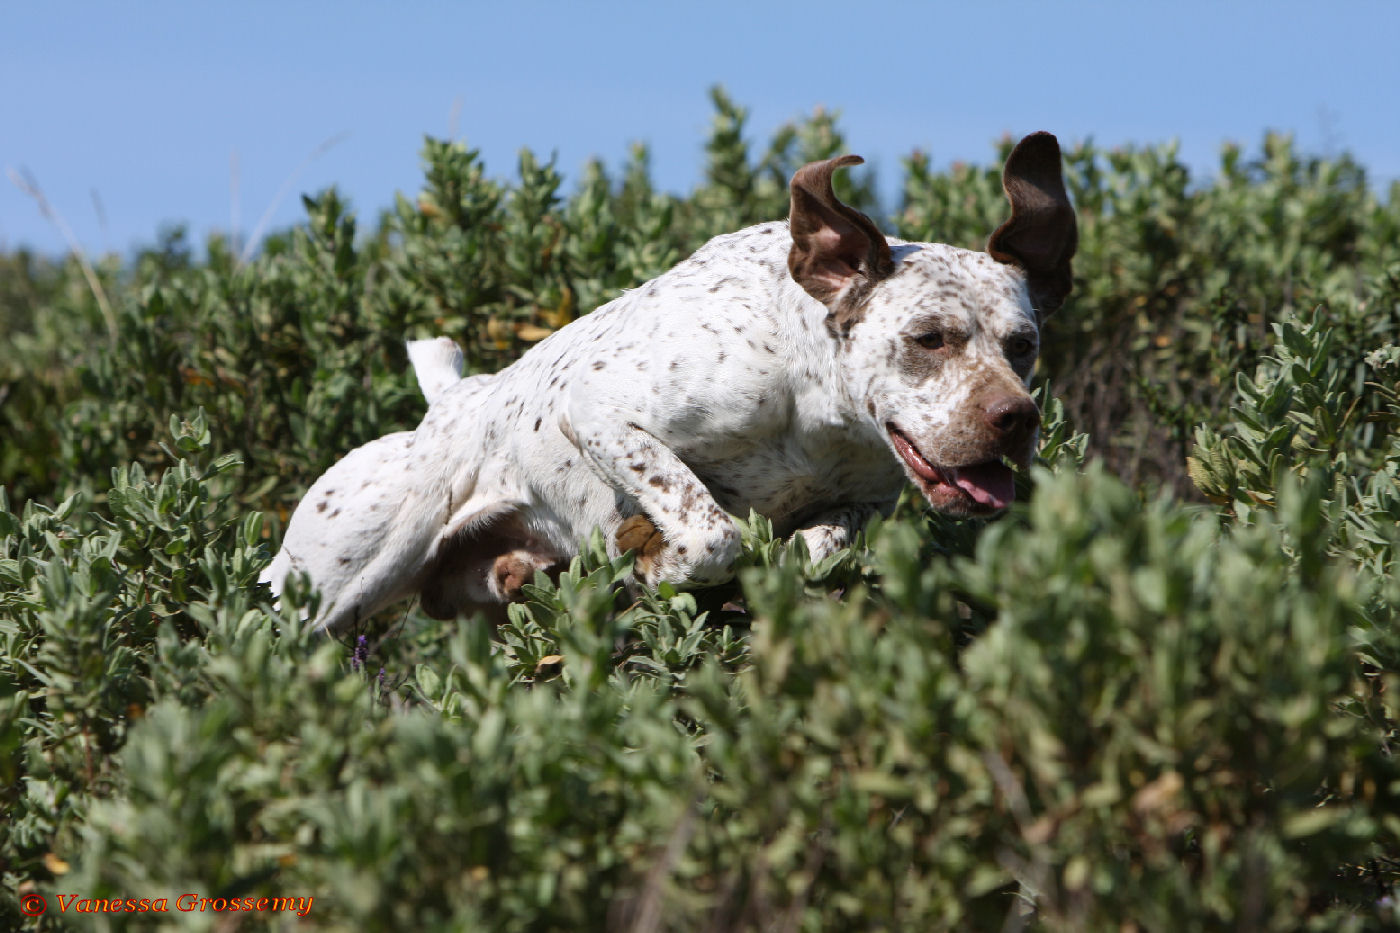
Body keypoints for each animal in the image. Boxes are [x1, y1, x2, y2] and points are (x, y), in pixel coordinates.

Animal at [267, 130, 1075, 627]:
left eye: (1024, 345)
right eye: (928, 338)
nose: (1016, 419)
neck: (816, 411)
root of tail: (448, 405)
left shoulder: (861, 502)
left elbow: (809, 548)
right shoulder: (600, 412)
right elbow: (710, 529)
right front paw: (654, 561)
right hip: (330, 583)